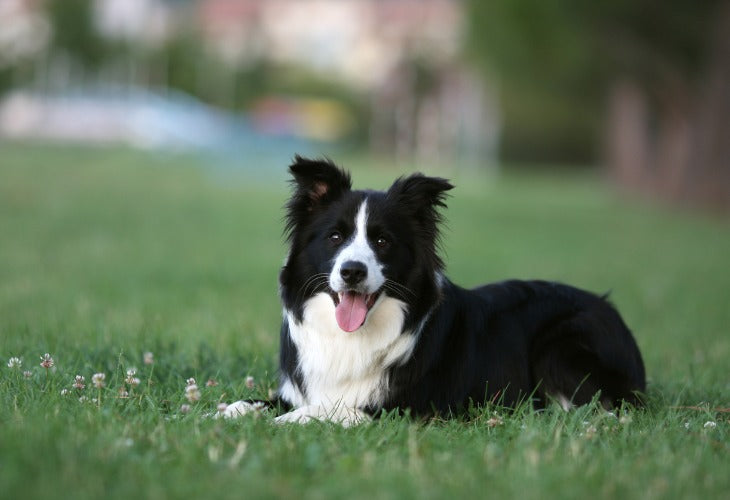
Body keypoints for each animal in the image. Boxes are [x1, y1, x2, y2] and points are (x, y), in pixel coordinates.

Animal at [222, 157, 644, 426]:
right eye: (335, 237)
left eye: (382, 241)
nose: (352, 271)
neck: (355, 336)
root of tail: (612, 311)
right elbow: (257, 402)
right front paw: (227, 411)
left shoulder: (407, 408)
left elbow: (326, 410)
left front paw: (282, 422)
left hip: (560, 345)